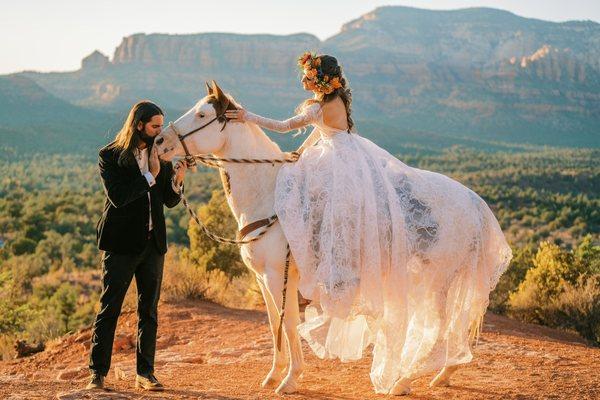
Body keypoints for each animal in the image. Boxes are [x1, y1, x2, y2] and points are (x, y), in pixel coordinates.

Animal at [154, 80, 460, 394]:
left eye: (202, 115)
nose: (160, 142)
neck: (268, 196)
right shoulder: (262, 279)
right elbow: (273, 323)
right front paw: (274, 374)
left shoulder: (280, 276)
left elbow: (289, 324)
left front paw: (290, 378)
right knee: (451, 326)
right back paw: (442, 374)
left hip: (432, 280)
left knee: (436, 328)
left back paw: (403, 381)